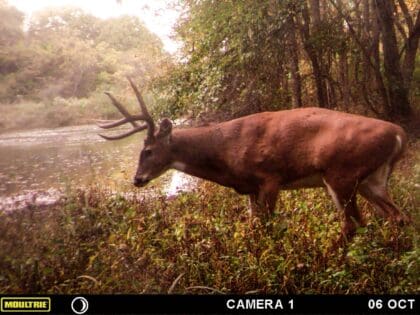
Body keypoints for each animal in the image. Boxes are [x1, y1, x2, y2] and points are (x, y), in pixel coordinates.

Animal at [98, 78, 410, 244]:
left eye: (148, 150)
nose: (136, 179)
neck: (225, 151)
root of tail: (399, 134)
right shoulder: (250, 187)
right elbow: (253, 225)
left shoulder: (270, 177)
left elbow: (268, 227)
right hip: (372, 180)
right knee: (397, 215)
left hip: (340, 175)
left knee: (353, 224)